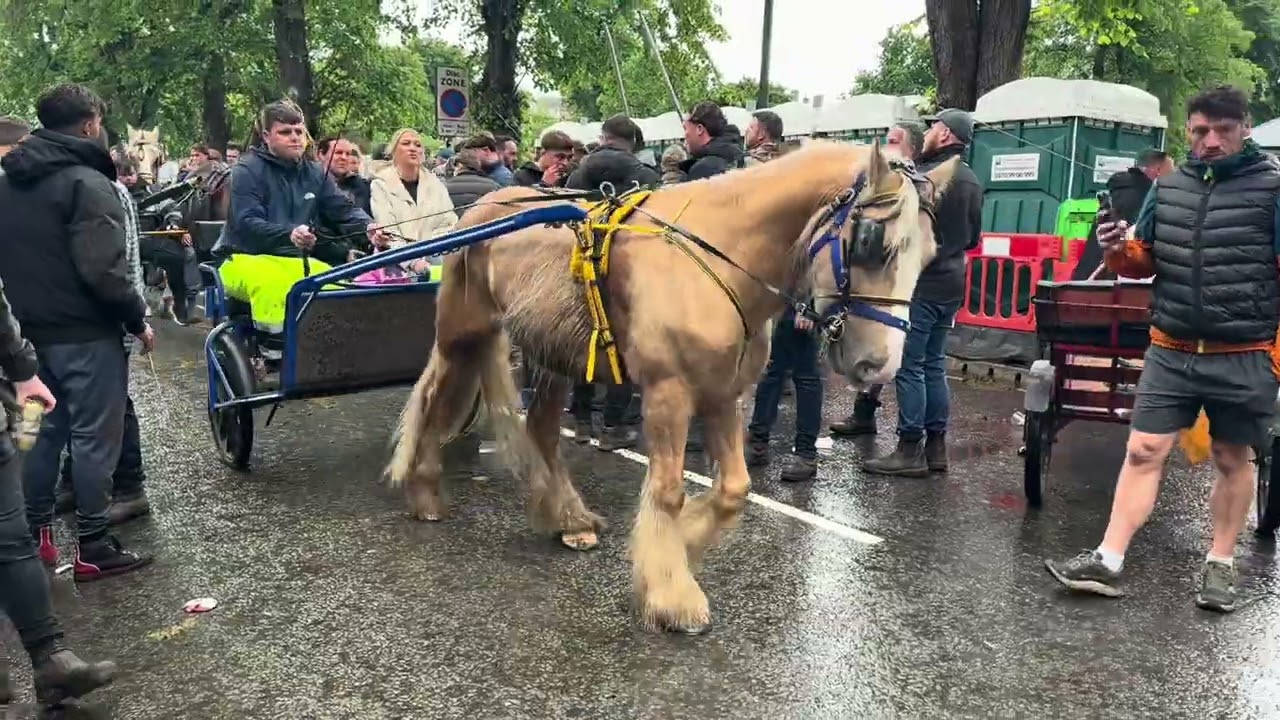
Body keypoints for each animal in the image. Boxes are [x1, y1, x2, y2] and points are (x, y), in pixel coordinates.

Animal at [387, 140, 961, 633]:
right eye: (871, 244)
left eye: (932, 254)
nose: (877, 366)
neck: (715, 255)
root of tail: (481, 208)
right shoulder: (668, 393)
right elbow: (667, 491)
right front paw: (669, 592)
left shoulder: (723, 395)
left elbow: (734, 490)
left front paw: (681, 545)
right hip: (464, 335)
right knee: (435, 399)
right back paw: (424, 489)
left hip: (554, 356)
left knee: (543, 431)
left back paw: (567, 517)